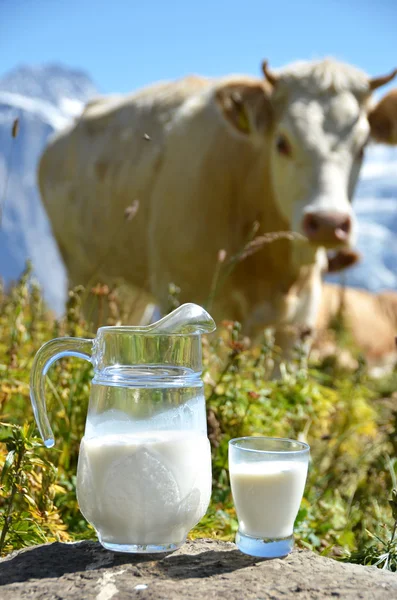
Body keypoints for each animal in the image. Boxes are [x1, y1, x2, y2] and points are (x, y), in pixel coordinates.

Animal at [38, 58, 396, 358]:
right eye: (282, 142)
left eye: (363, 147)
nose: (327, 222)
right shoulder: (189, 294)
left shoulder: (299, 319)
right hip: (83, 273)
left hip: (125, 285)